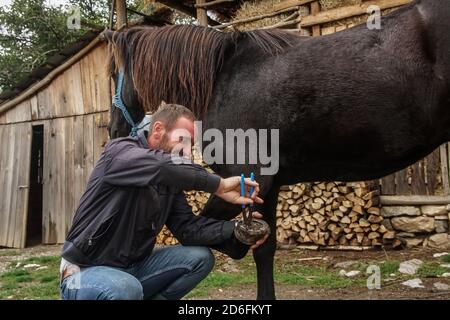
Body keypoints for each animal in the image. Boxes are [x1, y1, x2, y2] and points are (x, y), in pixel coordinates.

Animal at [104, 0, 450, 300]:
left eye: (112, 75)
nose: (113, 131)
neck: (222, 79)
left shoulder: (249, 179)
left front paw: (237, 243)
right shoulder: (264, 186)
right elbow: (264, 250)